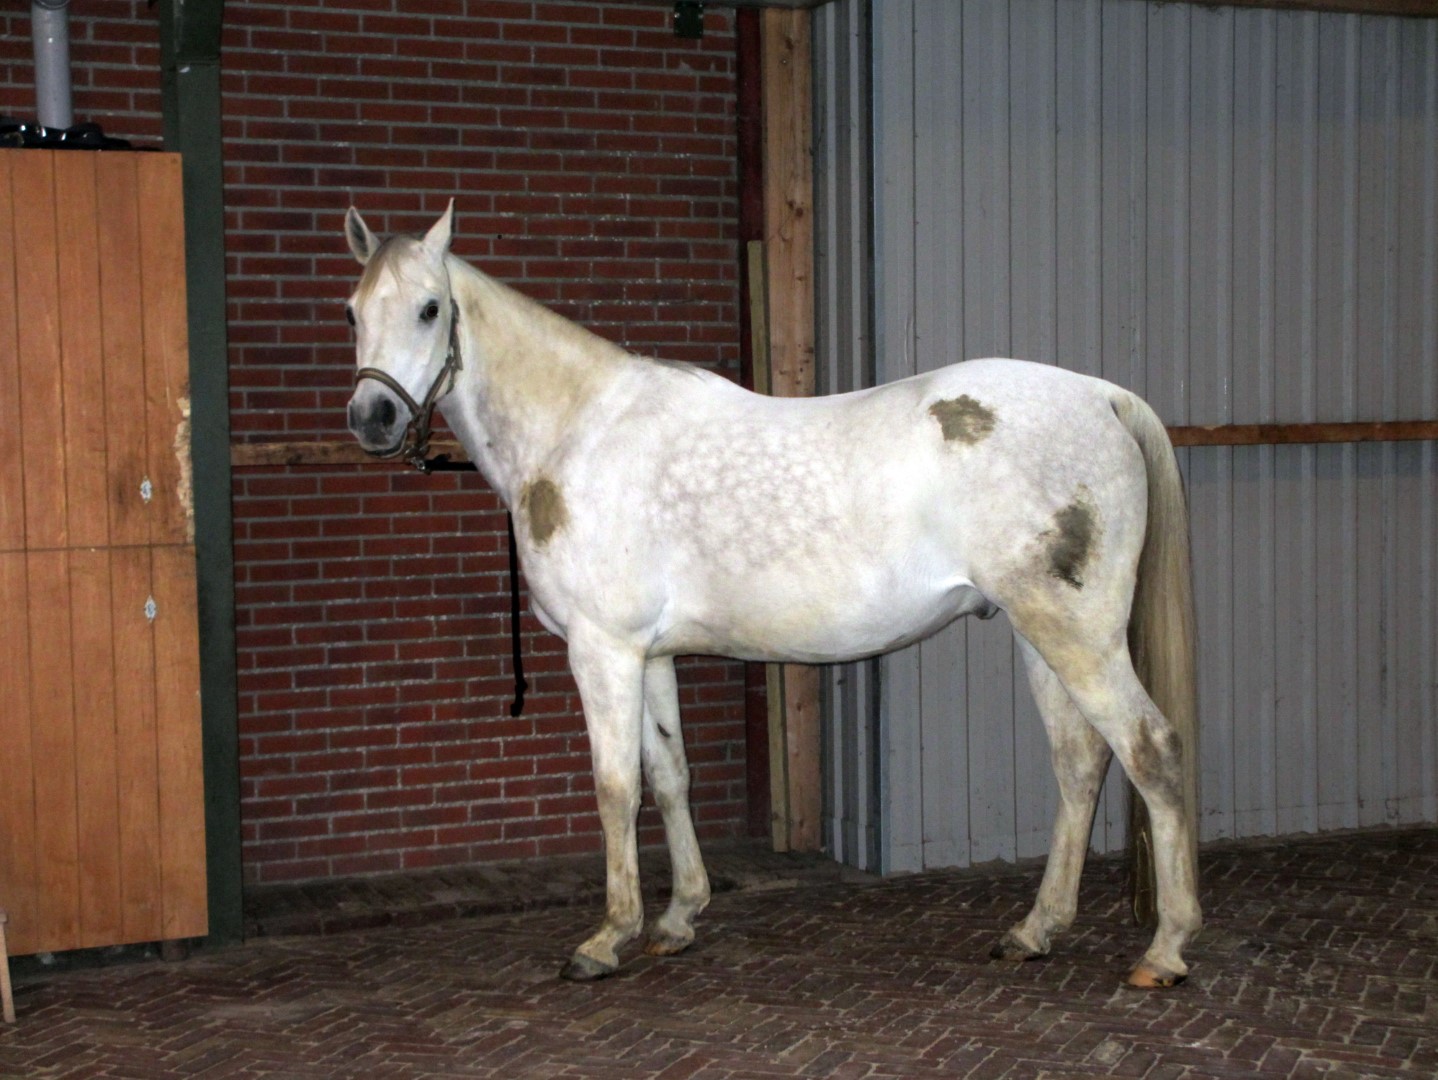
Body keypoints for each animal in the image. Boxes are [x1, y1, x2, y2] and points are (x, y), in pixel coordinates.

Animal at [342, 204, 1202, 989]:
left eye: (430, 308)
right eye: (352, 309)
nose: (371, 417)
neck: (579, 432)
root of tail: (1102, 396)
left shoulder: (603, 650)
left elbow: (616, 788)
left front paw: (606, 938)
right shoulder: (650, 656)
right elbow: (670, 776)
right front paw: (678, 918)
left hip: (1076, 635)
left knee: (1151, 751)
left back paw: (1165, 949)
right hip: (1037, 635)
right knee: (1080, 764)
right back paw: (1035, 931)